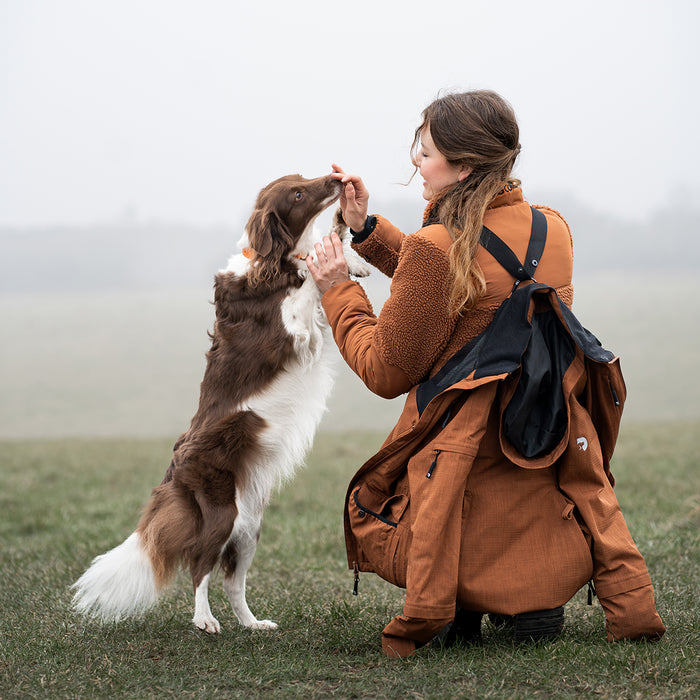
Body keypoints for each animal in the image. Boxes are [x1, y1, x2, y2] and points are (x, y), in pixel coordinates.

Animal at [72, 172, 372, 632]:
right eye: (298, 193)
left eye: (304, 178)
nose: (337, 179)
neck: (273, 260)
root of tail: (174, 469)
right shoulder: (293, 333)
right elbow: (308, 285)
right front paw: (323, 261)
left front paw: (348, 252)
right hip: (220, 513)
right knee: (200, 568)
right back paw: (204, 620)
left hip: (249, 526)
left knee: (233, 582)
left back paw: (252, 624)